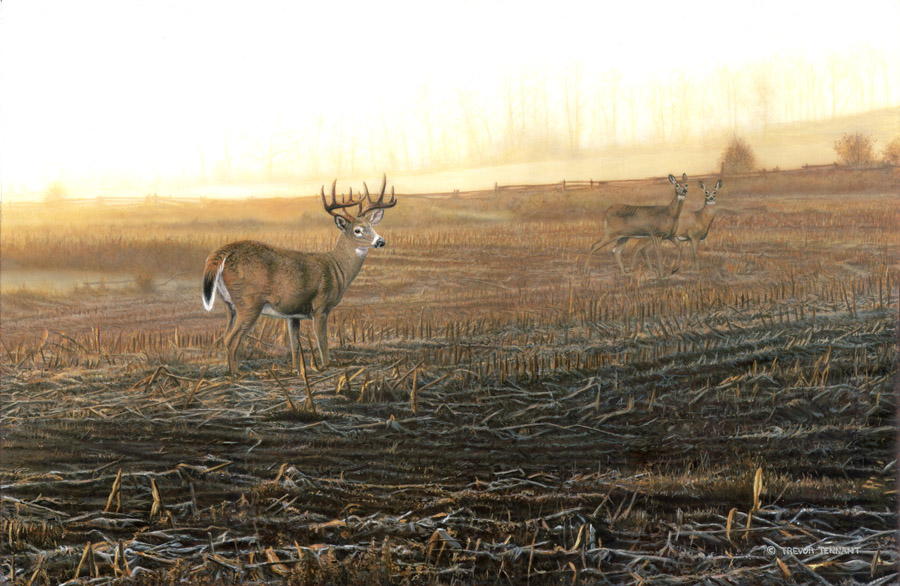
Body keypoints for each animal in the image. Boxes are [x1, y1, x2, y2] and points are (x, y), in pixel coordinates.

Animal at [201, 175, 397, 376]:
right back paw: (237, 374)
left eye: (371, 226)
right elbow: (322, 343)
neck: (336, 268)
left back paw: (232, 371)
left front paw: (296, 370)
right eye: (357, 230)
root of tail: (222, 254)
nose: (381, 241)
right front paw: (325, 367)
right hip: (249, 303)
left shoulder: (292, 313)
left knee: (225, 336)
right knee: (232, 339)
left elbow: (295, 345)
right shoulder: (320, 307)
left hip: (230, 305)